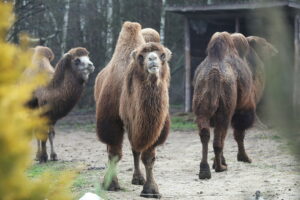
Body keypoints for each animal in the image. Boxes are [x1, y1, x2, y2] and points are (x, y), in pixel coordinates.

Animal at [95, 21, 172, 198]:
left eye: (162, 55)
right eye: (141, 57)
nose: (152, 58)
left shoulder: (154, 127)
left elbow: (148, 157)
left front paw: (151, 190)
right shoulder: (111, 122)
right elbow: (114, 154)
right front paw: (111, 184)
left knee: (135, 149)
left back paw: (138, 178)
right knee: (112, 149)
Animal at [192, 31, 255, 180]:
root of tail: (214, 74)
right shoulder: (243, 106)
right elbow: (239, 133)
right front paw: (244, 158)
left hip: (201, 107)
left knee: (205, 133)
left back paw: (205, 170)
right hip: (225, 110)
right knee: (219, 139)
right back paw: (220, 167)